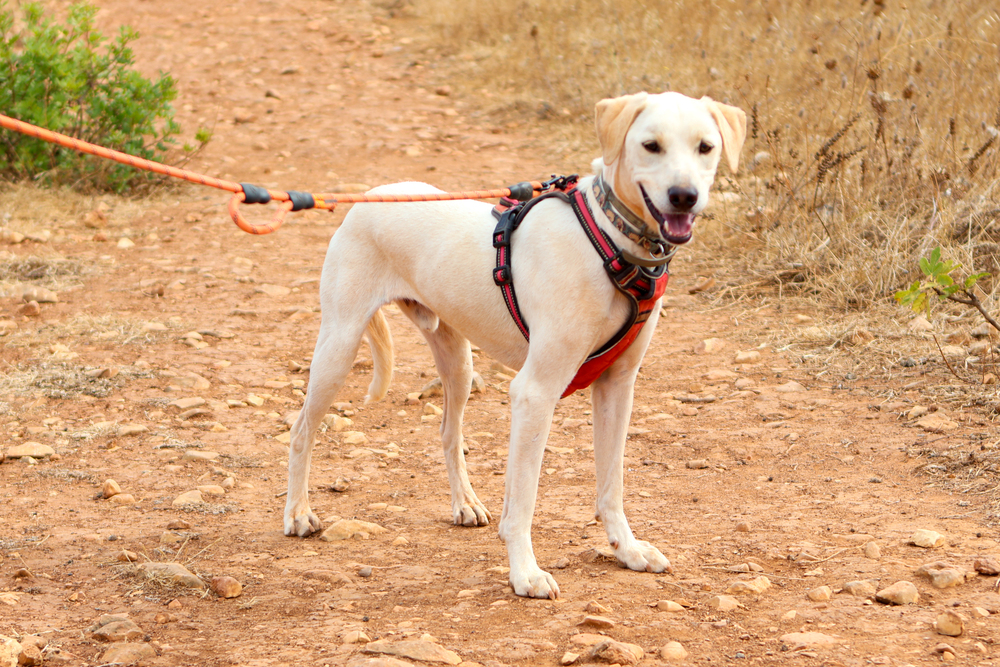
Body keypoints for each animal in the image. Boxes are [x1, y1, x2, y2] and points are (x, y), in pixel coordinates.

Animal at [283, 91, 746, 599]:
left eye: (705, 147)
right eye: (651, 145)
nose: (685, 195)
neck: (609, 241)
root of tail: (368, 196)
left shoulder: (617, 387)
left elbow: (612, 485)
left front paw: (626, 550)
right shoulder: (535, 393)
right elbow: (523, 500)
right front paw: (525, 573)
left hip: (458, 362)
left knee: (449, 433)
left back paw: (465, 504)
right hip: (339, 345)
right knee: (301, 429)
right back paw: (298, 513)